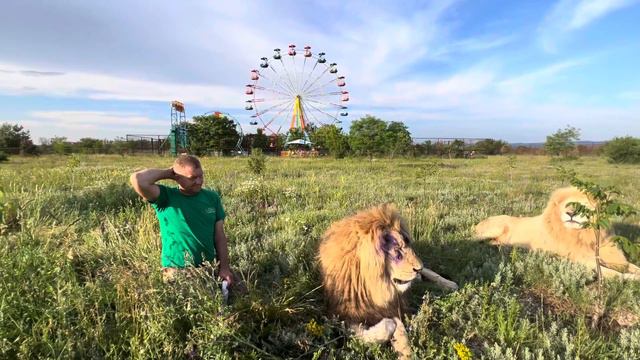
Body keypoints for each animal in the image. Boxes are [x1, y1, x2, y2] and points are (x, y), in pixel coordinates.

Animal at [318, 204, 458, 358]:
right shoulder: (340, 315)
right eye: (397, 250)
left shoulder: (393, 304)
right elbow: (382, 329)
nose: (418, 268)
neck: (377, 287)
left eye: (408, 245)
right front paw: (390, 326)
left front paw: (407, 353)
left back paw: (450, 284)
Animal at [476, 187, 640, 280]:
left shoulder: (614, 258)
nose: (571, 213)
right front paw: (633, 278)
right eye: (567, 205)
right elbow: (616, 274)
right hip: (494, 229)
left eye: (582, 205)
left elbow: (632, 266)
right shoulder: (584, 261)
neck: (582, 234)